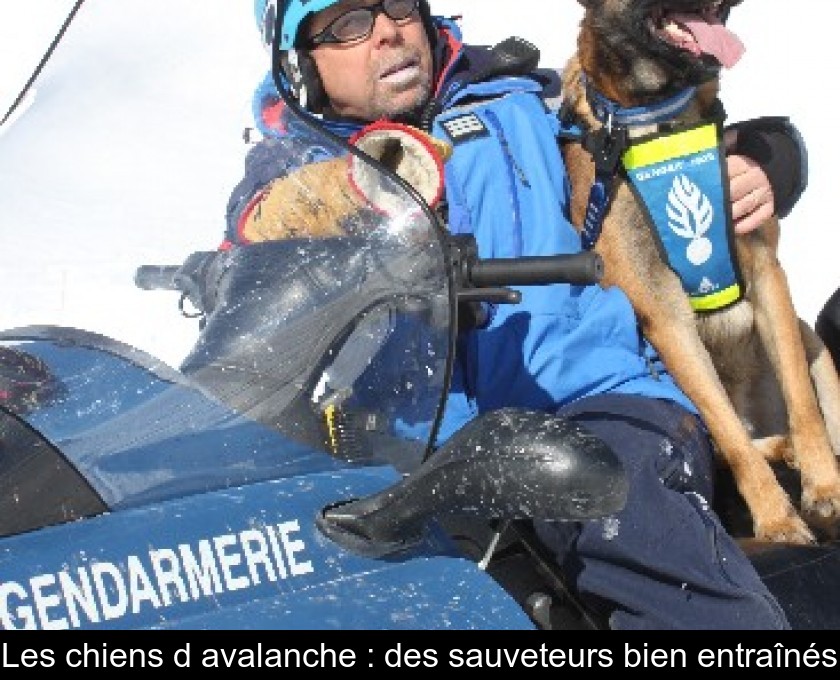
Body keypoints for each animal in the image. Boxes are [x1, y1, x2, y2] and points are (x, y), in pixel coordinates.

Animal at [560, 0, 840, 540]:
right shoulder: (666, 319)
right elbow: (730, 437)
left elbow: (803, 404)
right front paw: (776, 519)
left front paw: (825, 487)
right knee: (740, 441)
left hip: (810, 340)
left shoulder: (767, 276)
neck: (661, 121)